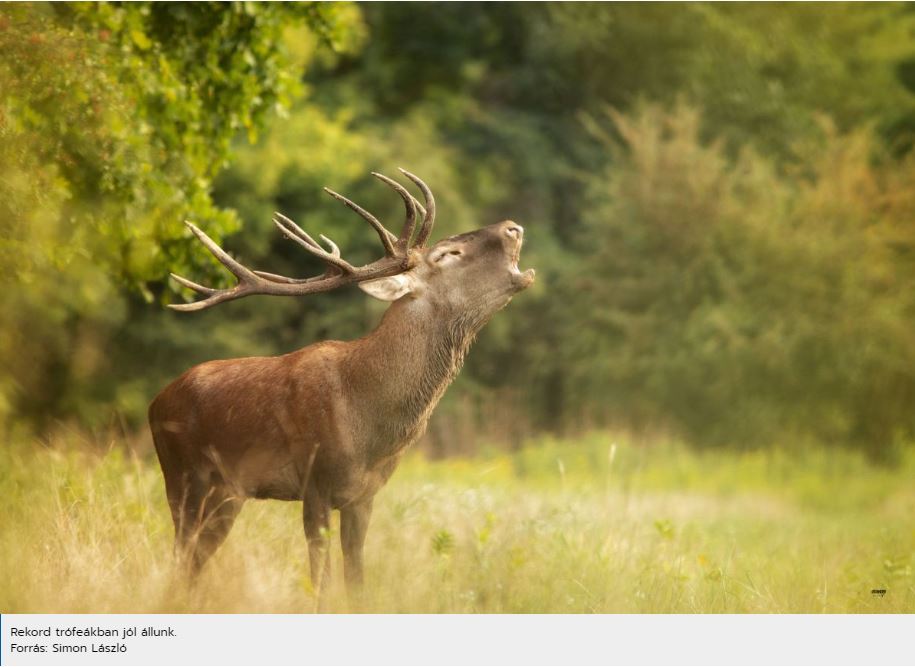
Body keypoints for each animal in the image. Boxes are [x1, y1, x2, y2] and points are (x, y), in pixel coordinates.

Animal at [148, 170, 536, 596]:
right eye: (447, 254)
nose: (513, 227)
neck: (368, 423)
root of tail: (156, 402)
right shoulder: (315, 483)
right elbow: (321, 581)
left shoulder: (363, 497)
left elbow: (356, 580)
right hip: (182, 476)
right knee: (180, 556)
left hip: (229, 493)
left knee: (194, 561)